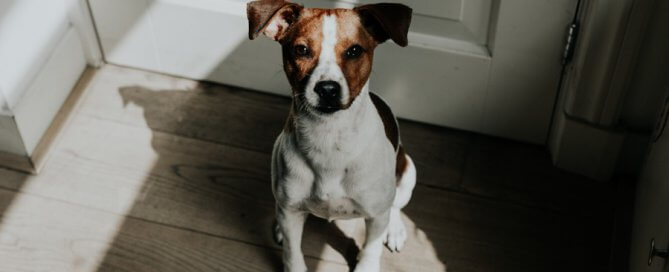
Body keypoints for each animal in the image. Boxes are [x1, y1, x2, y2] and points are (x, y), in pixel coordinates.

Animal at [248, 1, 414, 270]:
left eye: (354, 50)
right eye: (301, 50)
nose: (327, 89)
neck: (329, 137)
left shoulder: (377, 215)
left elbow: (371, 248)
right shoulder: (290, 210)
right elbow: (293, 252)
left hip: (408, 172)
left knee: (397, 205)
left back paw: (396, 230)